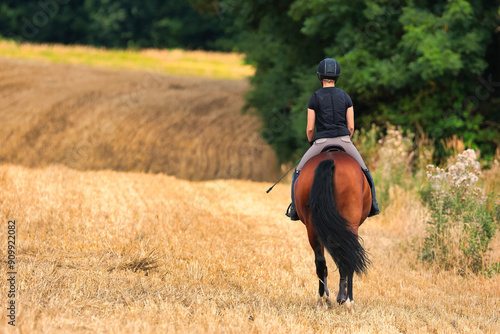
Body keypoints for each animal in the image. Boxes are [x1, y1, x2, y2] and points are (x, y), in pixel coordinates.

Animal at [292, 150, 372, 312]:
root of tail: (330, 159)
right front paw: (341, 297)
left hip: (313, 226)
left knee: (320, 262)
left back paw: (322, 300)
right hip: (349, 223)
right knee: (348, 258)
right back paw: (348, 302)